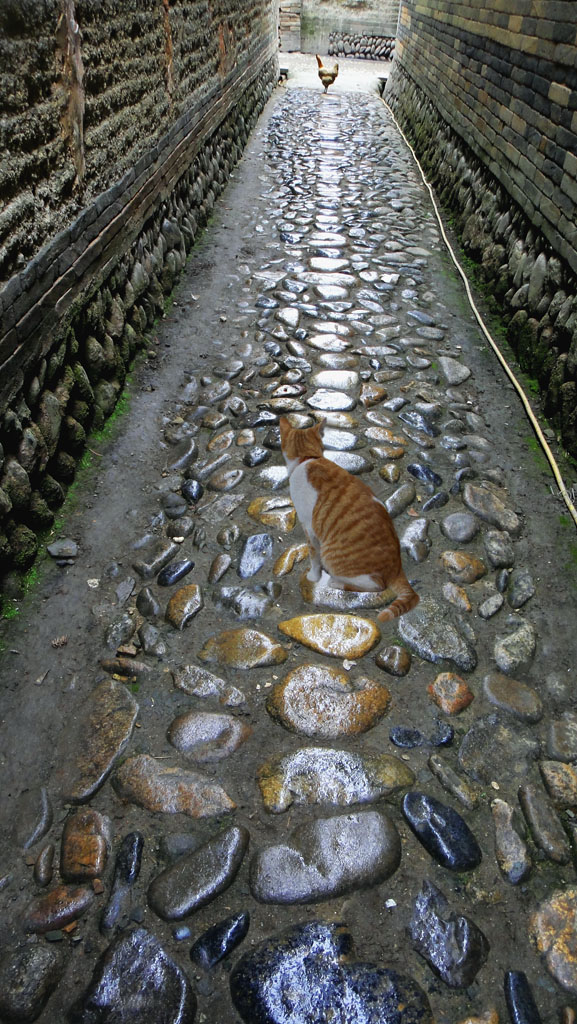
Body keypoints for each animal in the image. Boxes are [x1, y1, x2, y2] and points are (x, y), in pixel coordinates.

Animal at [280, 415, 420, 622]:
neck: (307, 459)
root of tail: (397, 568)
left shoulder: (309, 529)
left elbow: (314, 557)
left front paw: (313, 577)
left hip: (335, 557)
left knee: (377, 585)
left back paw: (336, 583)